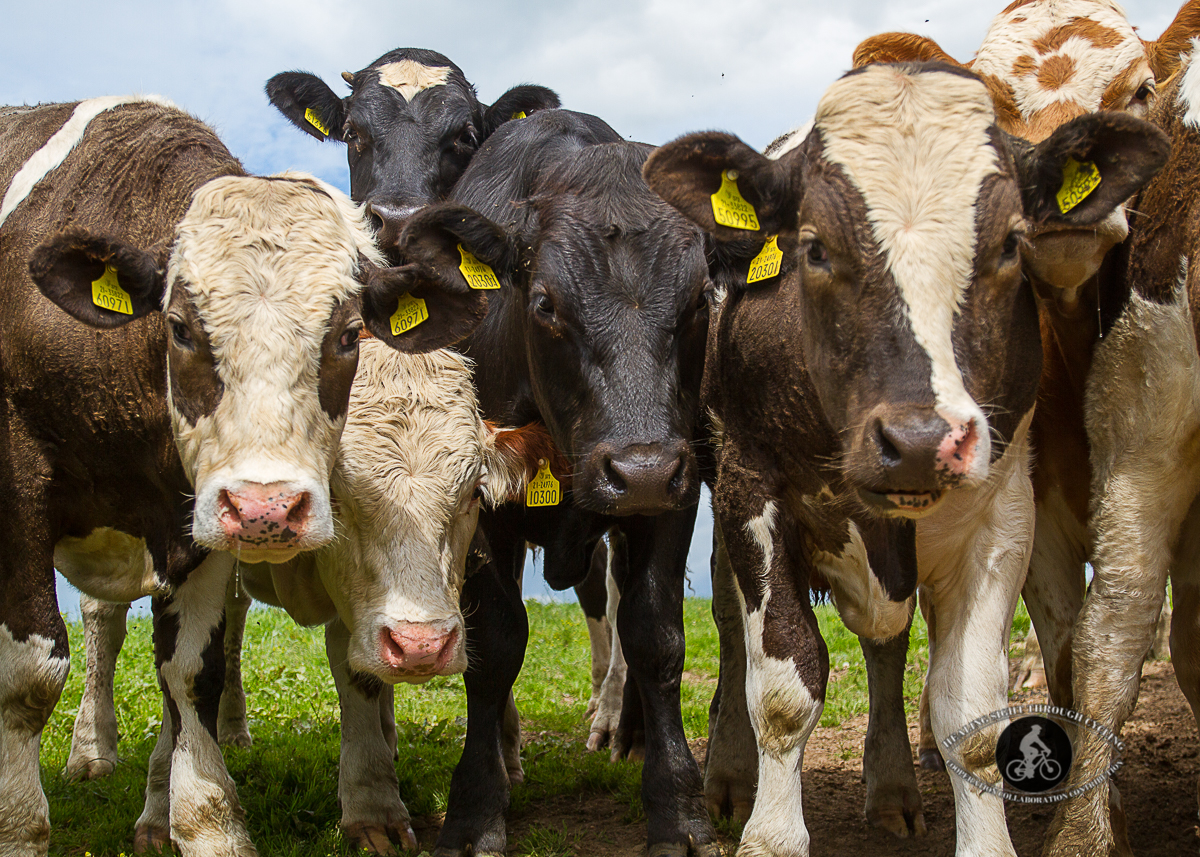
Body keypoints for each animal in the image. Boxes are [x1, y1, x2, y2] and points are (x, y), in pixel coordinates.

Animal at [0, 95, 477, 854]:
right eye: (179, 326)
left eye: (348, 334)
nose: (267, 508)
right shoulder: (19, 498)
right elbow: (28, 677)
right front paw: (19, 825)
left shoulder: (194, 524)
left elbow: (192, 671)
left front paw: (202, 822)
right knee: (102, 623)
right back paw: (93, 749)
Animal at [643, 61, 1166, 854]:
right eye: (814, 246)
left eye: (1011, 243)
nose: (920, 439)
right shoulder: (749, 486)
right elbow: (784, 682)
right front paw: (771, 835)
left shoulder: (1002, 513)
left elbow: (970, 712)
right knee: (736, 630)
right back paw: (730, 775)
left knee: (886, 650)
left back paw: (891, 788)